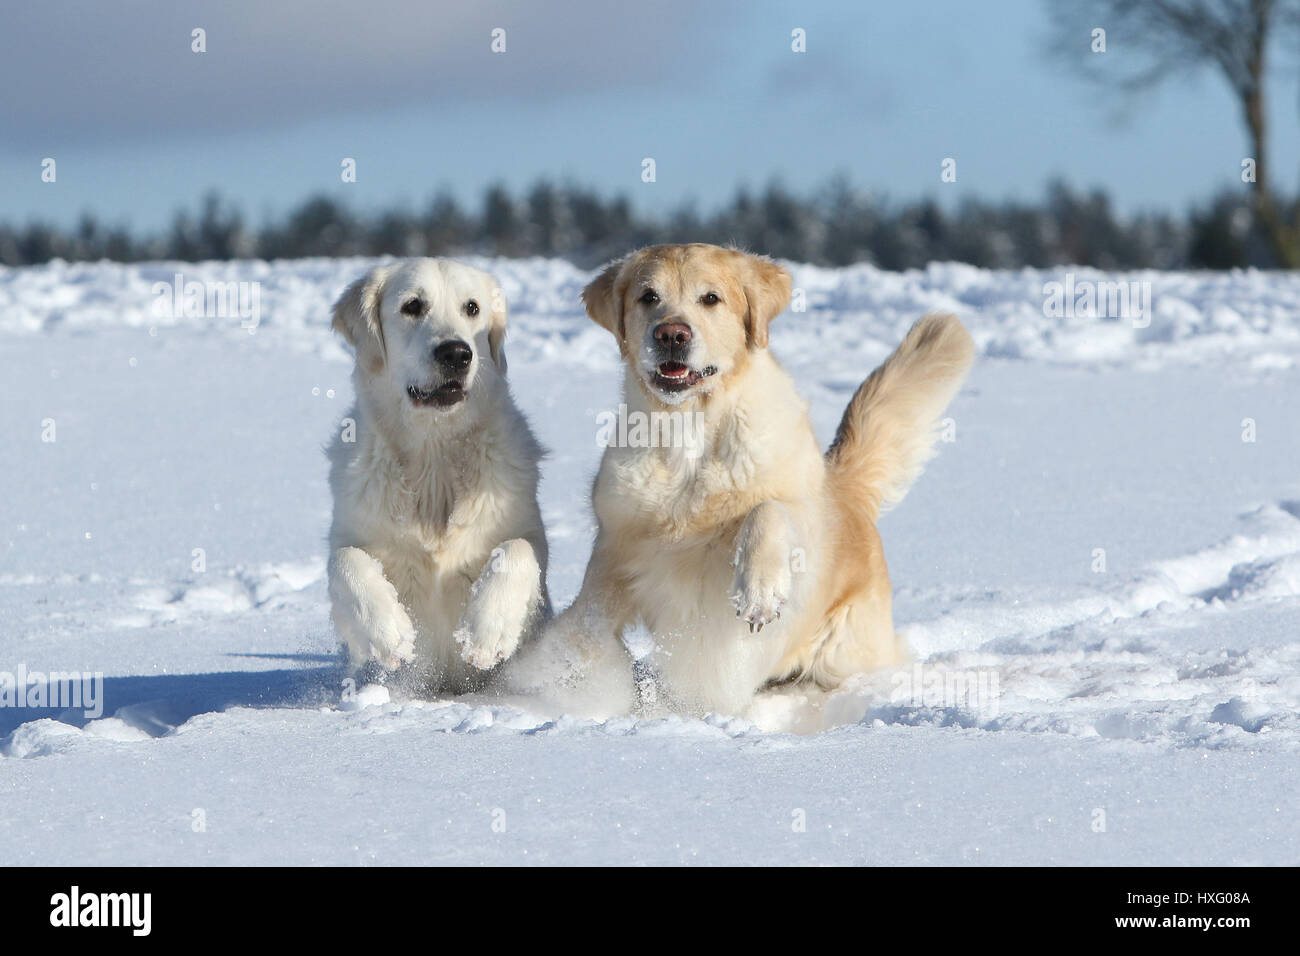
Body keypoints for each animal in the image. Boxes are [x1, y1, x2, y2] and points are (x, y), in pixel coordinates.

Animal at [330, 257, 548, 691]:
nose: (456, 353)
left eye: (472, 308)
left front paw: (486, 632)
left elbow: (518, 551)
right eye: (412, 306)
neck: (435, 455)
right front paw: (388, 630)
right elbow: (346, 561)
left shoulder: (528, 533)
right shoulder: (348, 530)